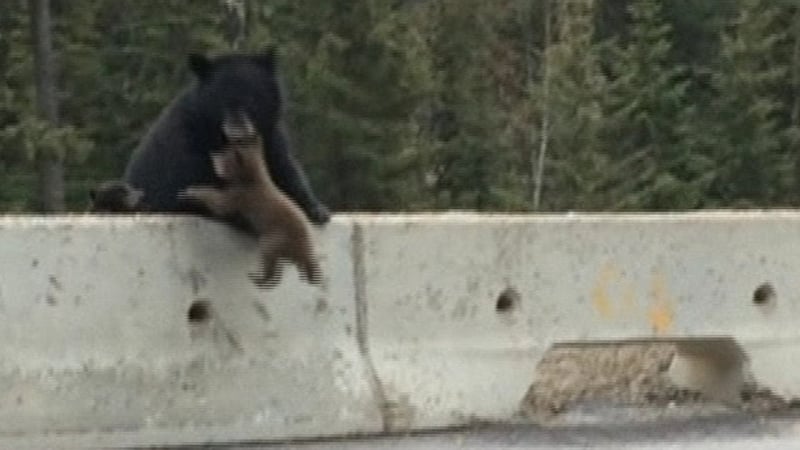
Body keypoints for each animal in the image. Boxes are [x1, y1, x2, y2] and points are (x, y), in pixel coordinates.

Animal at [121, 46, 329, 233]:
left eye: (252, 98)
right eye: (221, 101)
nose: (238, 128)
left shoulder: (269, 136)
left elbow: (284, 169)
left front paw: (317, 210)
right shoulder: (187, 145)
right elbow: (193, 186)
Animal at [179, 110, 322, 289]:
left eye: (224, 154)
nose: (213, 155)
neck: (253, 174)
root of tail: (305, 248)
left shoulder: (242, 194)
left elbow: (221, 203)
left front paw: (191, 193)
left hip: (278, 236)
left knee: (269, 254)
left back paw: (261, 278)